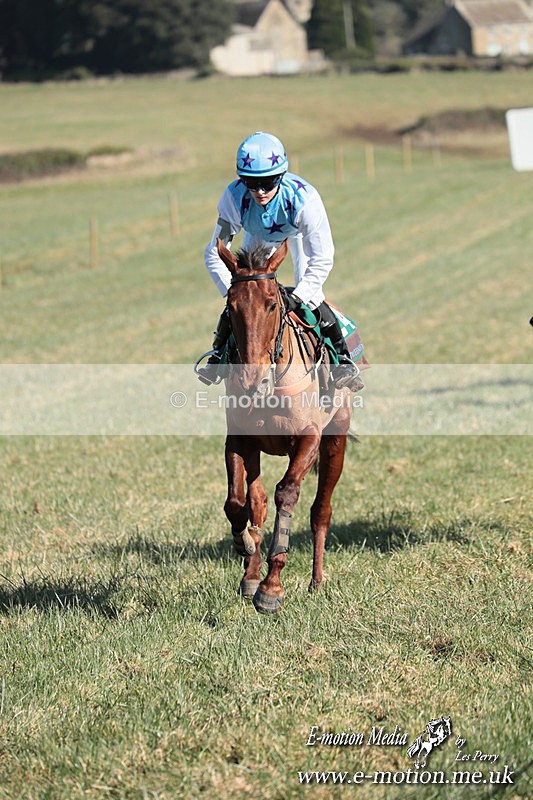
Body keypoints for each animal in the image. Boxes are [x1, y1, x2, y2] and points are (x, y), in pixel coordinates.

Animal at [215, 237, 352, 614]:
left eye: (272, 305)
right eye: (231, 307)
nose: (252, 380)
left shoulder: (308, 439)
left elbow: (287, 493)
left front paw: (272, 587)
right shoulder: (239, 439)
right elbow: (237, 503)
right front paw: (246, 548)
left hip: (336, 441)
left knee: (321, 510)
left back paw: (316, 582)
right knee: (257, 501)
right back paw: (251, 570)